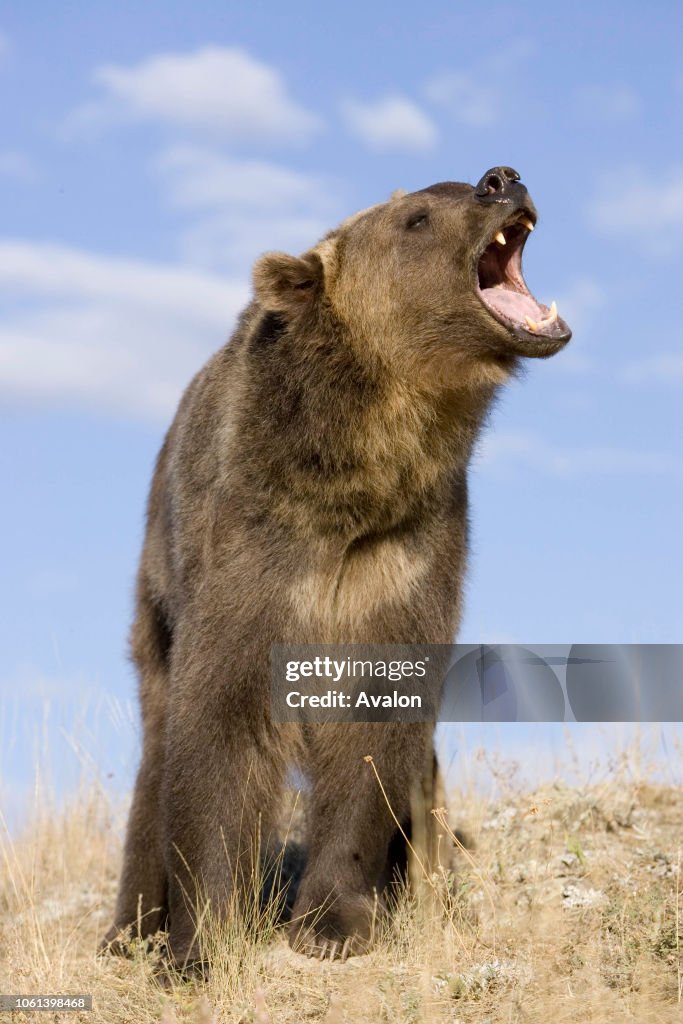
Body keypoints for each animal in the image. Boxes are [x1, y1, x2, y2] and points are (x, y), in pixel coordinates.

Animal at [102, 166, 570, 970]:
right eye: (417, 217)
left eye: (463, 185)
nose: (502, 179)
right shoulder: (255, 542)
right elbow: (218, 721)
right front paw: (201, 941)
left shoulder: (406, 550)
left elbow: (374, 733)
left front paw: (333, 922)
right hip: (158, 586)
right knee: (158, 739)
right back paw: (129, 926)